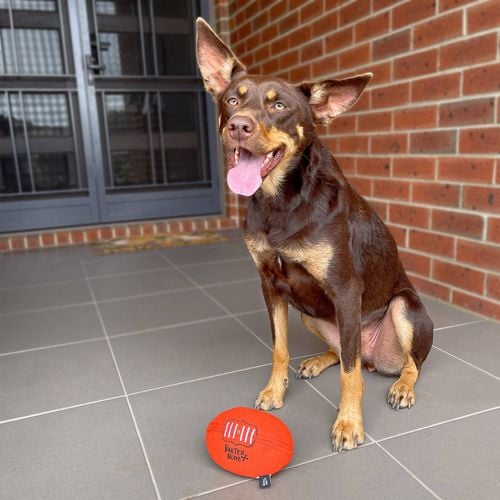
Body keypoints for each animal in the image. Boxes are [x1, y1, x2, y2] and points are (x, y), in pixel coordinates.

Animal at [195, 19, 434, 452]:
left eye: (279, 106)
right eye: (233, 101)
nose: (239, 126)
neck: (282, 202)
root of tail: (375, 356)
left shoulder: (345, 289)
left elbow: (350, 375)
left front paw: (349, 423)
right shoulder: (271, 284)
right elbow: (279, 349)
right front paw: (275, 391)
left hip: (404, 308)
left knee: (402, 362)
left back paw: (403, 386)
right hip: (310, 313)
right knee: (342, 351)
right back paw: (318, 360)